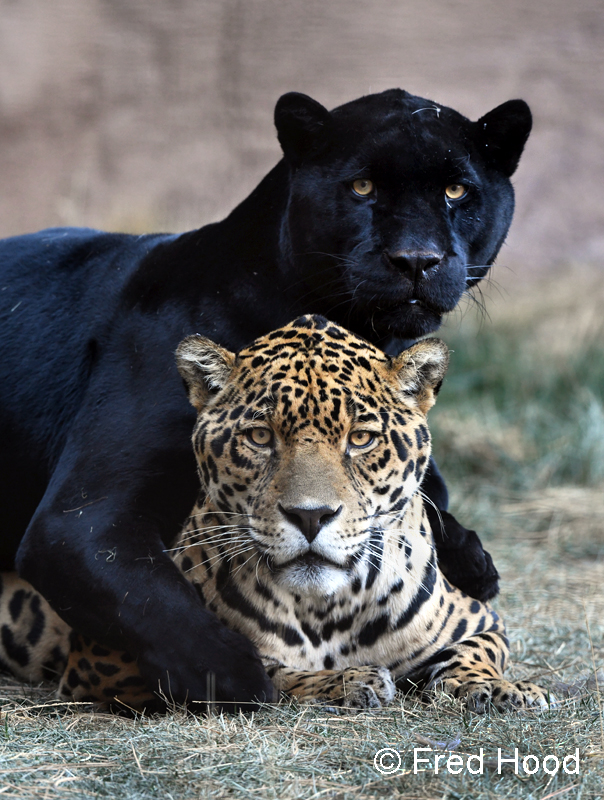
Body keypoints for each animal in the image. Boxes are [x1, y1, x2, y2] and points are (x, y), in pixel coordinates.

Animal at [0, 316, 552, 713]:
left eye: (361, 438)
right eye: (260, 437)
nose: (310, 517)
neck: (329, 609)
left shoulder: (481, 621)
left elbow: (471, 656)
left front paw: (504, 690)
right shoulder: (109, 661)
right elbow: (266, 672)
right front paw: (347, 680)